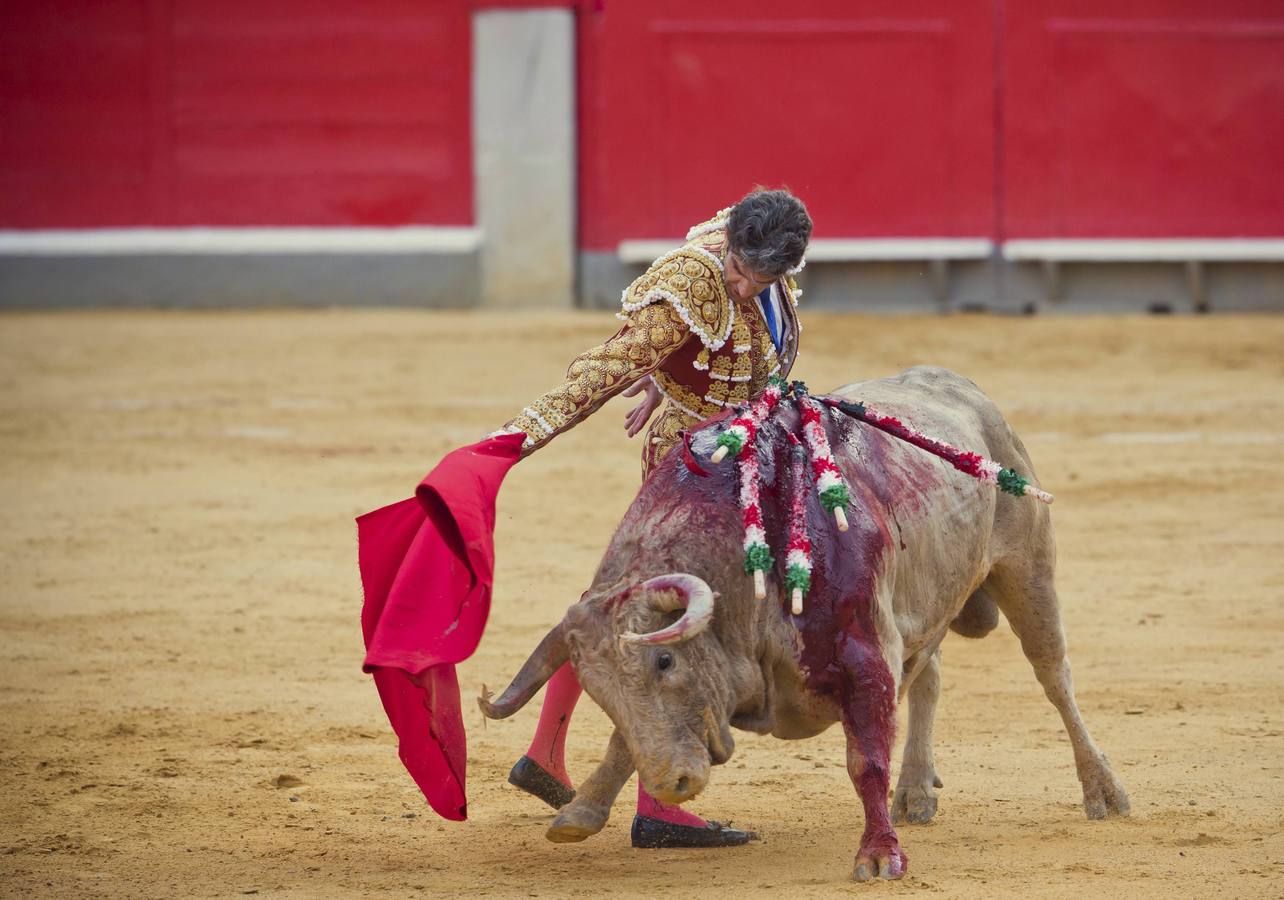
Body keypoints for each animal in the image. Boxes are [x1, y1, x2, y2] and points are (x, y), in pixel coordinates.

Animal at [477, 364, 1129, 878]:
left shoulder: (867, 652)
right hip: (926, 604)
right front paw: (581, 811)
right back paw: (916, 790)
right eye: (597, 690)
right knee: (932, 675)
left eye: (665, 659)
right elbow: (625, 740)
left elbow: (865, 758)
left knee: (1054, 676)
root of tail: (964, 388)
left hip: (1027, 569)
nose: (671, 783)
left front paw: (879, 857)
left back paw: (1103, 791)